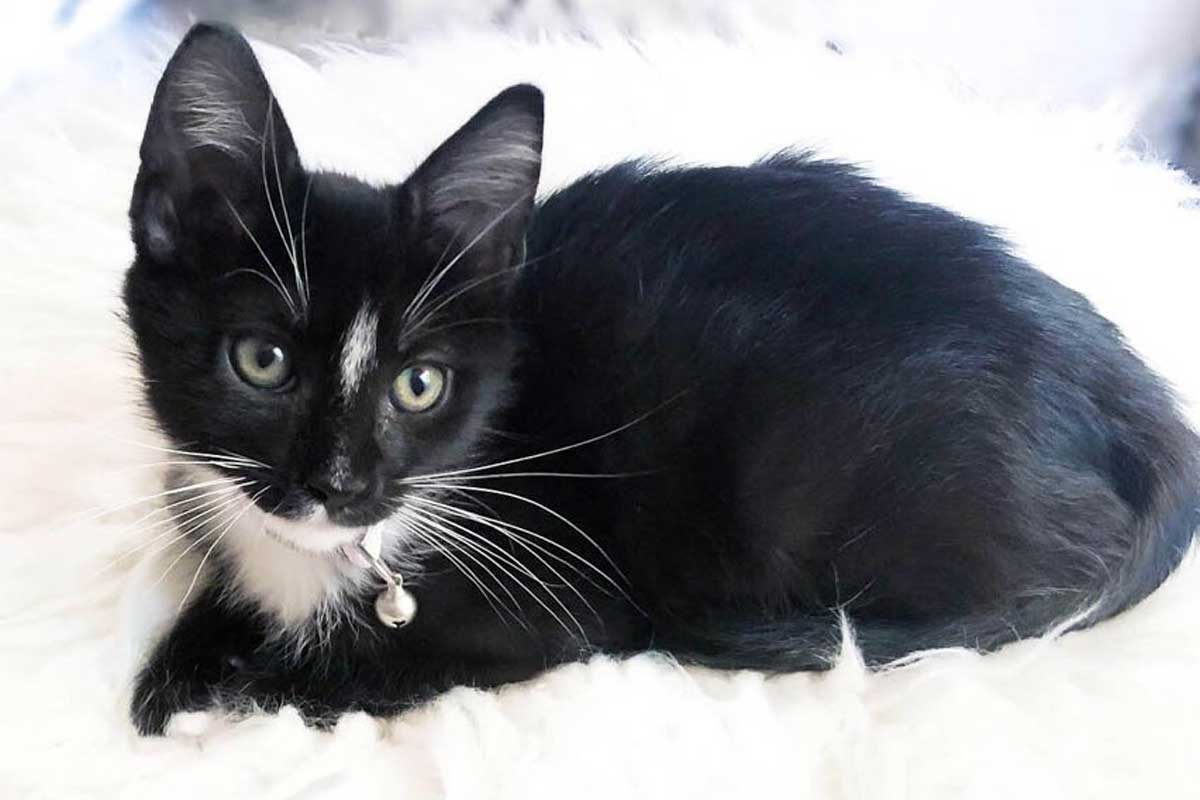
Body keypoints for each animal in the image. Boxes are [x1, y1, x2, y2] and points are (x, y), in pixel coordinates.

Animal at [124, 23, 1200, 738]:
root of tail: (1142, 398)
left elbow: (363, 665)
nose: (340, 484)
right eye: (261, 361)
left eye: (419, 384)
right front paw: (182, 661)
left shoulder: (562, 596)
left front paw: (228, 701)